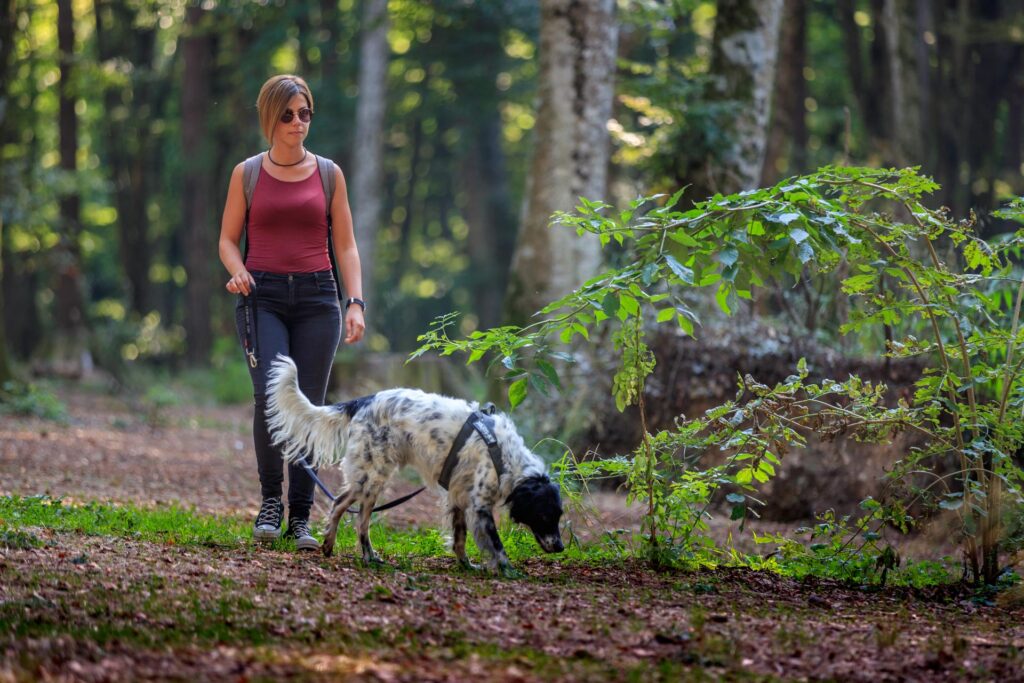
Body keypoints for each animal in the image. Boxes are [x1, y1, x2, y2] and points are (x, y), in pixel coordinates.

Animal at [264, 356, 565, 573]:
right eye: (545, 515)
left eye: (559, 515)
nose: (561, 547)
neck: (504, 455)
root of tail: (365, 400)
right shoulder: (479, 504)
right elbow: (497, 545)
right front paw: (507, 569)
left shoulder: (457, 498)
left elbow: (459, 539)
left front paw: (466, 565)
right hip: (373, 477)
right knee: (354, 515)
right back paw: (358, 553)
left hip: (369, 478)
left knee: (346, 508)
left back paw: (339, 548)